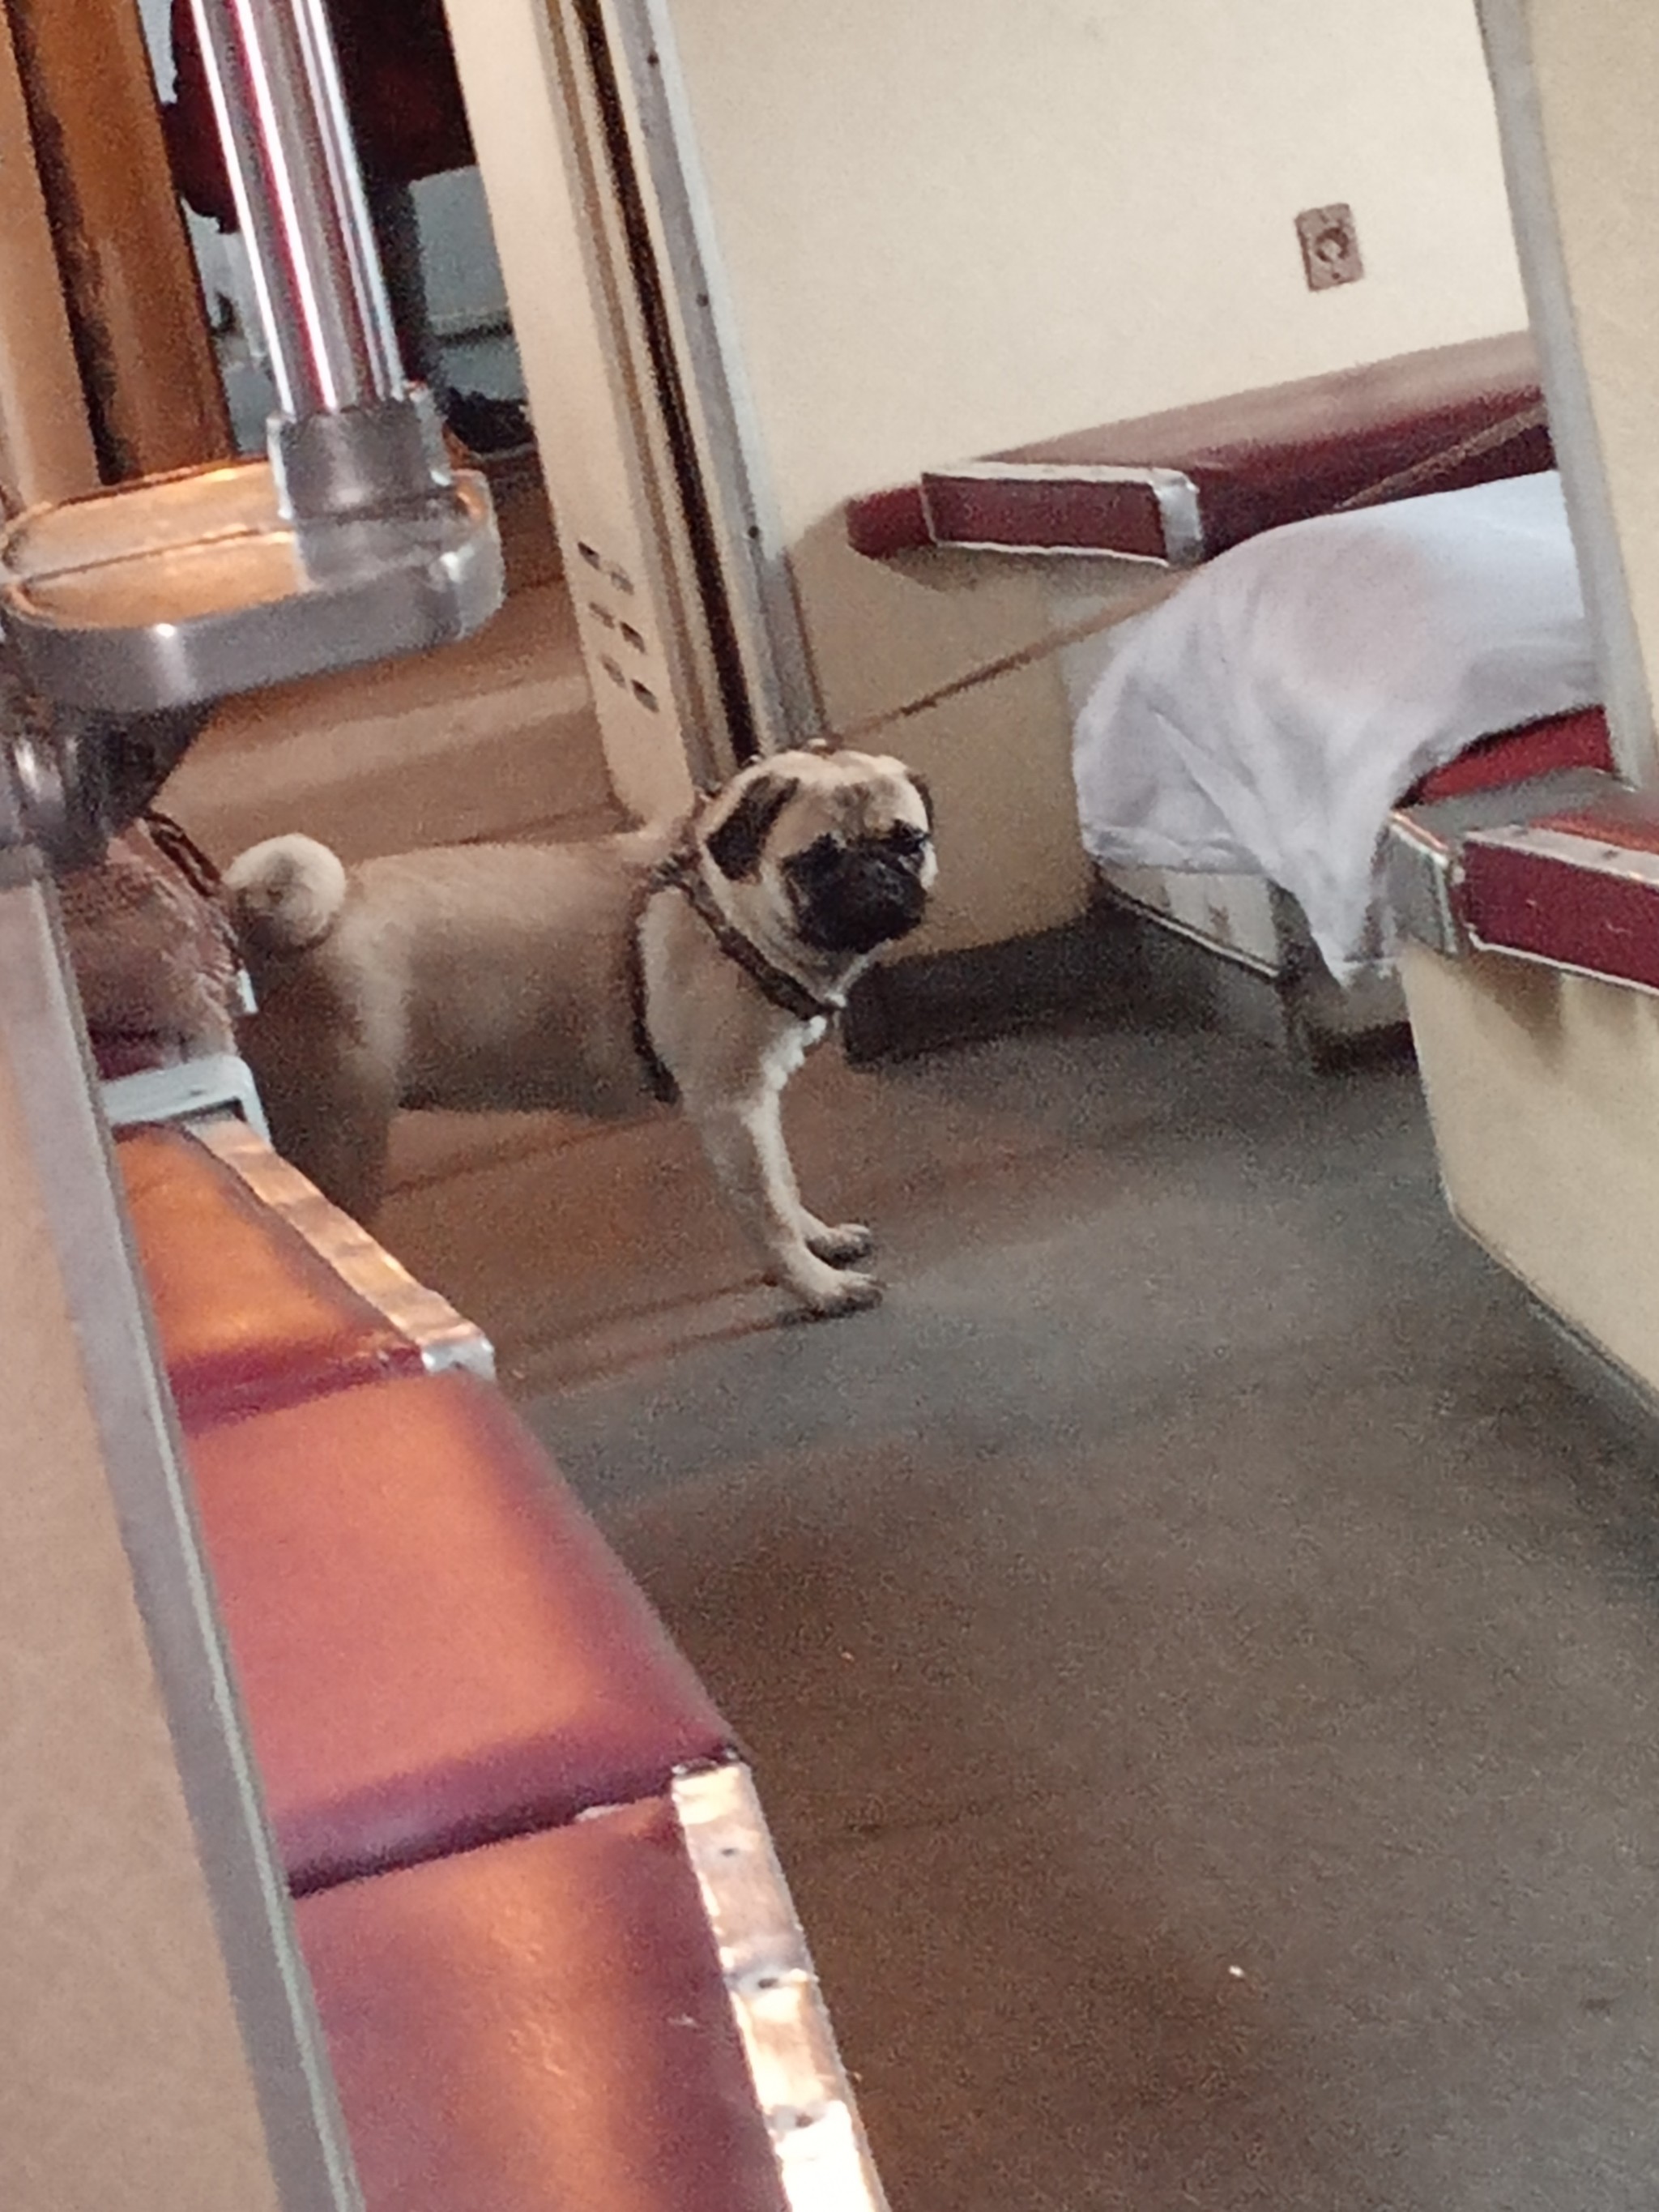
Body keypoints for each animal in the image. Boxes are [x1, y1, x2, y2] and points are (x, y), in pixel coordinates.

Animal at [224, 752, 937, 1318]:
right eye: (816, 861)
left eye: (909, 842)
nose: (876, 875)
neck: (725, 912)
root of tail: (244, 925)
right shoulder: (733, 1109)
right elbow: (768, 1209)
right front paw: (817, 1288)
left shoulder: (757, 1112)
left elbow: (786, 1188)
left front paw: (821, 1241)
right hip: (341, 1140)